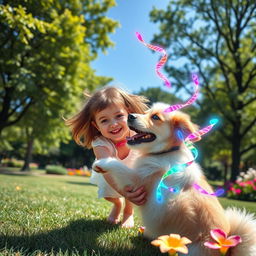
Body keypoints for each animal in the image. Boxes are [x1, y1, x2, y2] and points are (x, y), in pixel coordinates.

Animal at [93, 103, 256, 255]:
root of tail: (226, 248)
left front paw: (101, 163)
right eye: (146, 112)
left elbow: (119, 166)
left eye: (155, 117)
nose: (130, 116)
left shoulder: (139, 181)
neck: (164, 152)